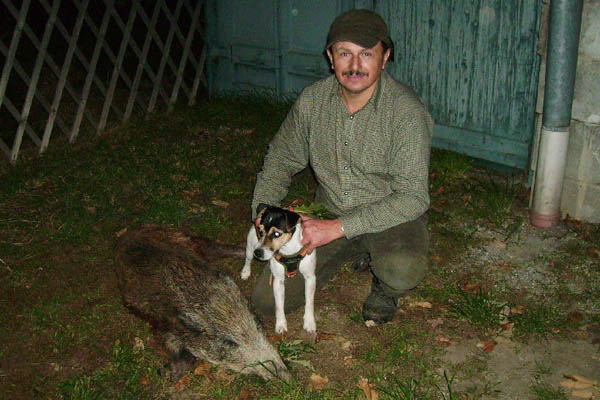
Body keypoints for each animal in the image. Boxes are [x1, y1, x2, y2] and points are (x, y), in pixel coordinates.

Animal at [240, 203, 318, 334]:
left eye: (276, 234)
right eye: (260, 231)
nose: (258, 253)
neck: (288, 249)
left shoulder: (310, 277)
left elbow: (310, 301)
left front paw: (309, 322)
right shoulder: (278, 280)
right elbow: (279, 304)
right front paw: (281, 324)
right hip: (250, 247)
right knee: (248, 259)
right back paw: (245, 272)